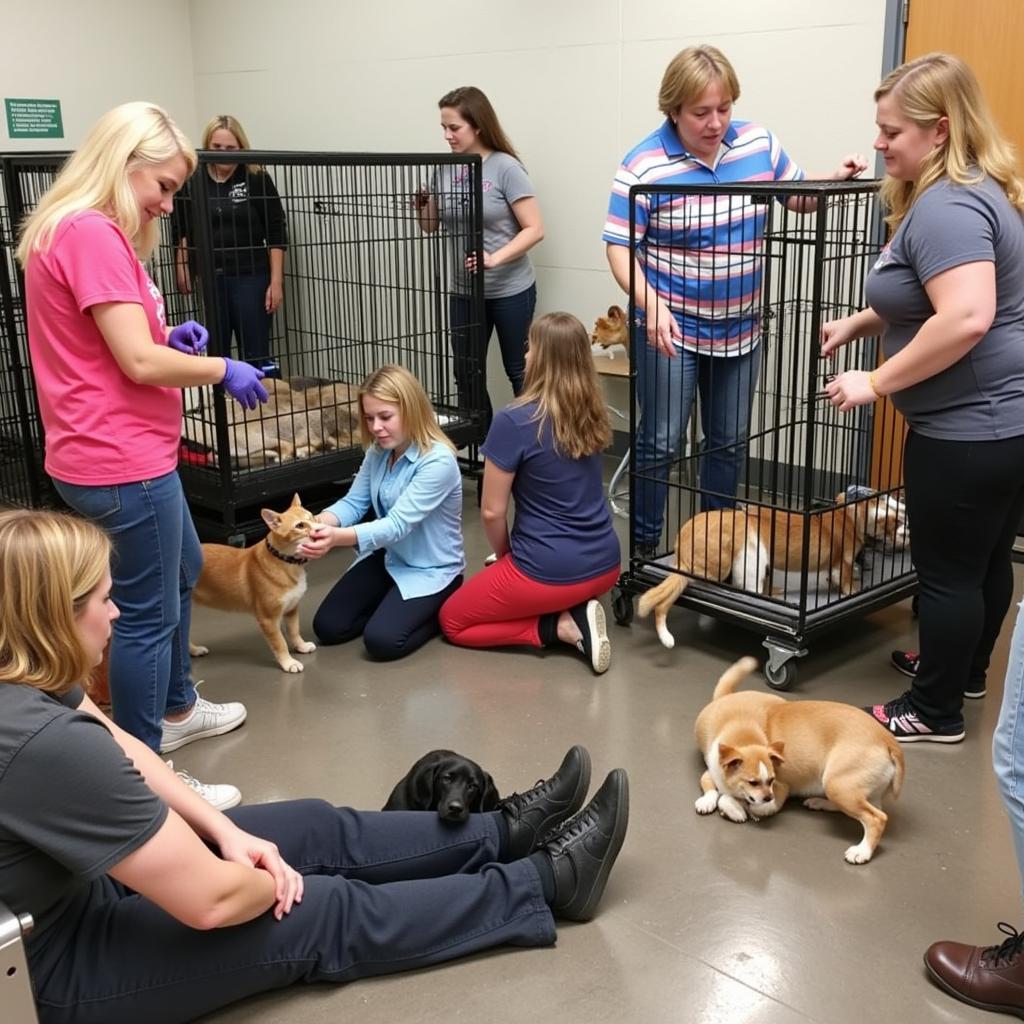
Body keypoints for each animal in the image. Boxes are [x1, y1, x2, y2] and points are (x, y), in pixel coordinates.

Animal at [190, 493, 317, 671]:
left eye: (312, 517)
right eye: (300, 525)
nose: (320, 527)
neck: (285, 561)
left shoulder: (291, 609)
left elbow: (294, 632)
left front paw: (301, 646)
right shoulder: (268, 619)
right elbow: (280, 643)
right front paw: (288, 662)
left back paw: (194, 651)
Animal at [634, 489, 909, 647]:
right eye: (897, 518)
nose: (907, 528)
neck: (848, 514)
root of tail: (682, 555)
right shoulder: (841, 564)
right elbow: (847, 582)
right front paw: (854, 590)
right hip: (747, 555)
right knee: (745, 588)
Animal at [696, 655, 905, 864]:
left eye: (770, 780)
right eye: (752, 782)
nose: (767, 797)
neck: (742, 730)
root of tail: (887, 739)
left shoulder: (778, 790)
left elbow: (740, 801)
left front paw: (739, 808)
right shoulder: (713, 770)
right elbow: (712, 787)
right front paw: (712, 802)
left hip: (837, 784)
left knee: (877, 818)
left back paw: (862, 851)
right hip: (842, 787)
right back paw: (820, 803)